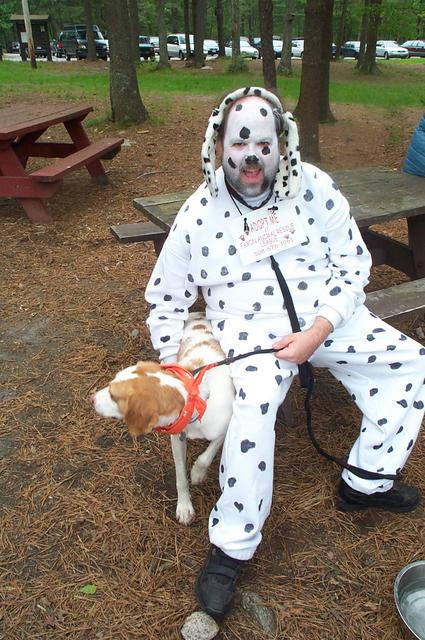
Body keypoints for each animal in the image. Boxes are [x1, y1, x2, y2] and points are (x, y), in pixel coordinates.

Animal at [92, 312, 235, 524]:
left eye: (112, 395)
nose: (91, 398)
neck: (195, 398)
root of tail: (199, 314)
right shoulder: (177, 439)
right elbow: (180, 478)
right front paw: (184, 506)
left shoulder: (224, 429)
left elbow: (205, 457)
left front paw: (197, 473)